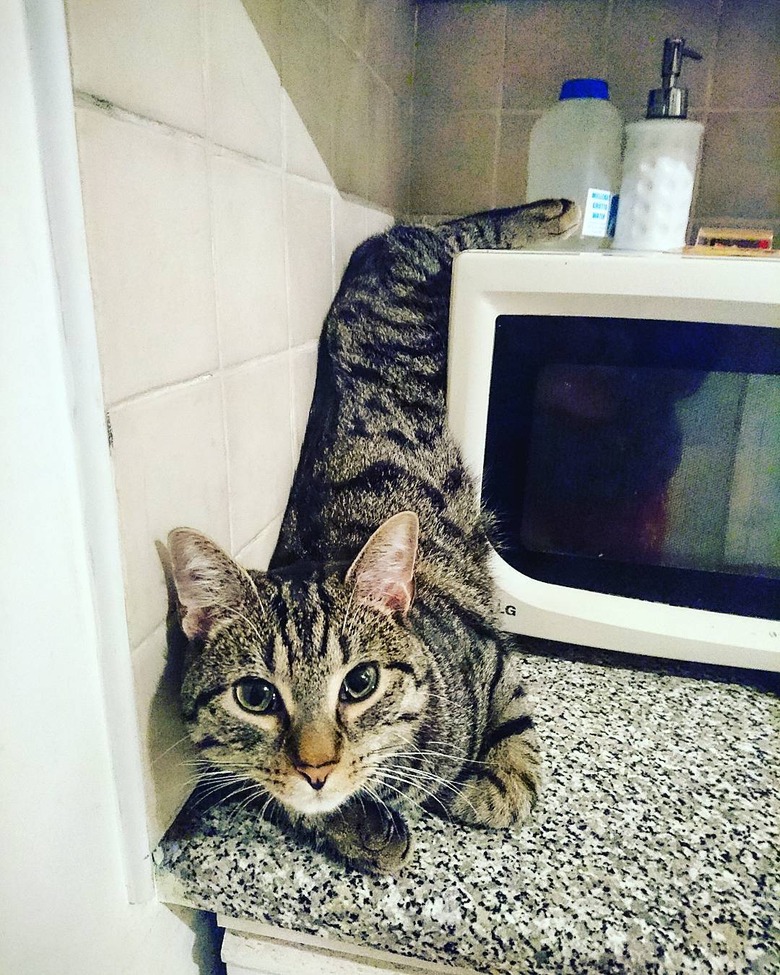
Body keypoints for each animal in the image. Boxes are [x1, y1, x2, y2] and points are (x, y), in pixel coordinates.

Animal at [168, 200, 580, 876]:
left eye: (359, 684)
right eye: (256, 696)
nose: (315, 768)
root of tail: (385, 237)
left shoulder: (493, 656)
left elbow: (514, 739)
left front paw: (489, 785)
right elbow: (272, 793)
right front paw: (359, 829)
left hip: (442, 260)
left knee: (474, 227)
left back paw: (558, 213)